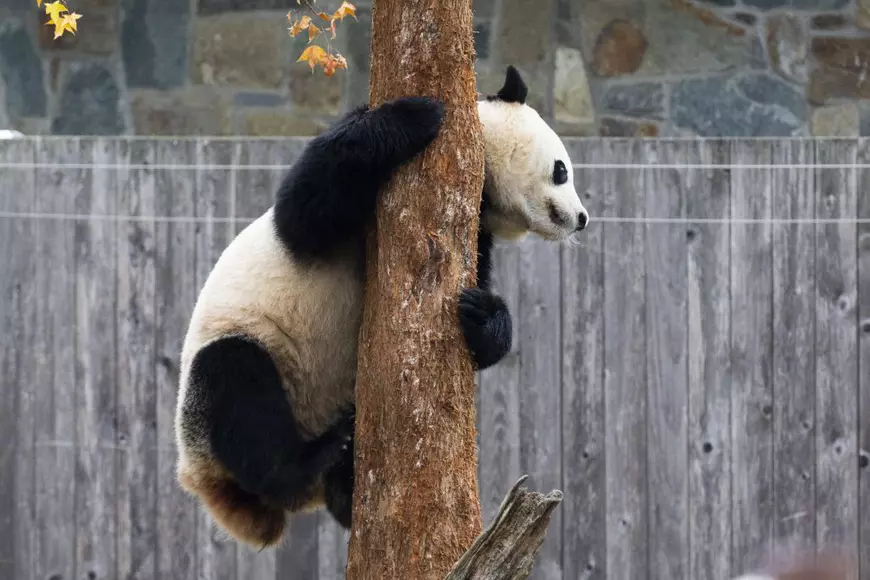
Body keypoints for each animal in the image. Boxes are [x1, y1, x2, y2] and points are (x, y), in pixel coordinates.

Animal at [174, 65, 589, 549]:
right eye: (562, 170)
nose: (582, 219)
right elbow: (307, 208)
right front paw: (419, 114)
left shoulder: (472, 231)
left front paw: (482, 316)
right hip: (229, 373)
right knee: (237, 384)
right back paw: (307, 459)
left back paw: (345, 479)